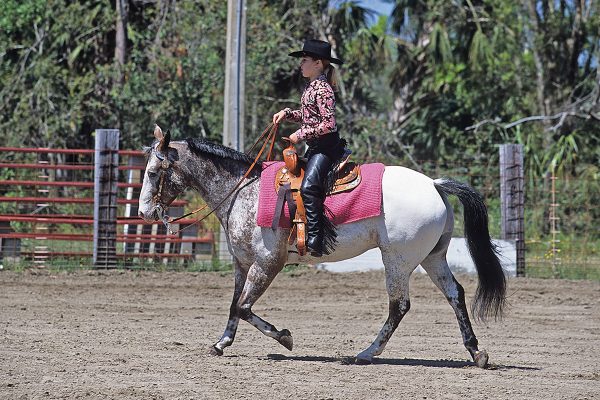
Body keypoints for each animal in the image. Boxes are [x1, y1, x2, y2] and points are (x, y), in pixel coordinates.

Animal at [139, 126, 506, 368]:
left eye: (155, 172)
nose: (144, 212)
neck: (244, 191)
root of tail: (434, 184)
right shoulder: (242, 264)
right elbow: (234, 306)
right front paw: (221, 343)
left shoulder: (267, 262)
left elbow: (244, 307)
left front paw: (284, 337)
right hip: (432, 257)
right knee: (455, 294)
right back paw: (477, 353)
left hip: (398, 259)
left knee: (399, 305)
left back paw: (366, 353)